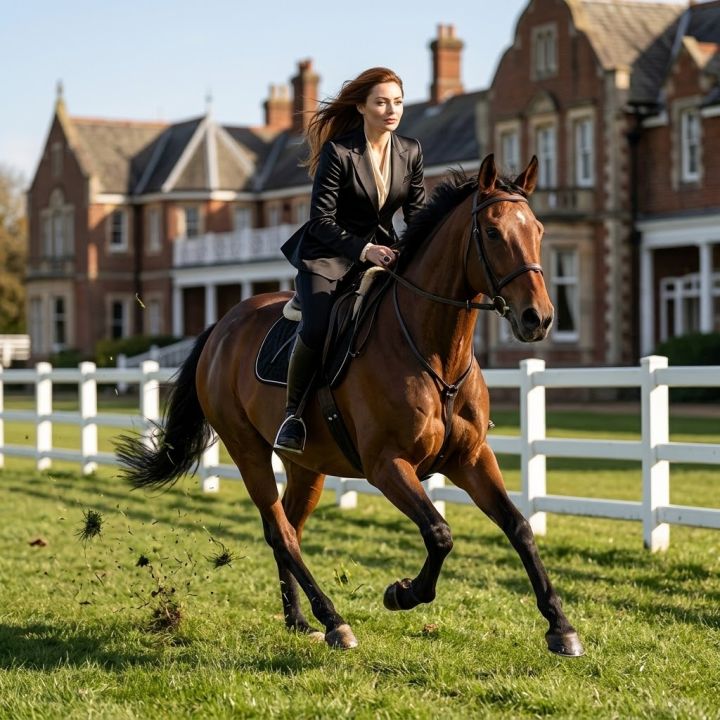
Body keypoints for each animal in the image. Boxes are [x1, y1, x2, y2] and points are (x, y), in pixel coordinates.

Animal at [116, 154, 584, 656]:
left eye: (539, 229)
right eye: (493, 233)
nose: (539, 318)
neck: (434, 350)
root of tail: (222, 326)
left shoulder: (470, 459)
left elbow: (519, 527)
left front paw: (560, 626)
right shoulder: (387, 466)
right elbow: (440, 534)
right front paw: (403, 593)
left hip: (307, 466)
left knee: (288, 530)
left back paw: (299, 619)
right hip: (248, 451)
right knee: (281, 531)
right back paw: (334, 621)